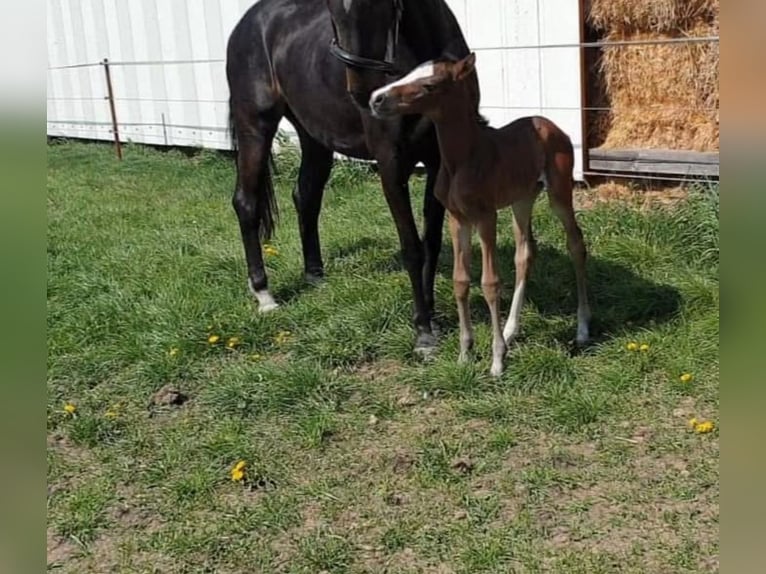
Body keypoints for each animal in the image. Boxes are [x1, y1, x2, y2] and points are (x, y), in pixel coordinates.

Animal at [226, 0, 481, 355]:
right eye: (330, 6)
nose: (366, 94)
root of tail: (247, 22)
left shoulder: (440, 163)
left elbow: (430, 242)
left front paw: (431, 314)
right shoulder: (391, 165)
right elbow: (412, 246)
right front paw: (423, 334)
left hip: (313, 136)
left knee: (306, 196)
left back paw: (315, 276)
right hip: (255, 125)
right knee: (246, 203)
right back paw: (265, 296)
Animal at [370, 54, 591, 376]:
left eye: (429, 84)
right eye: (410, 72)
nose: (376, 98)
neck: (463, 159)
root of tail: (550, 125)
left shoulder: (486, 217)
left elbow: (490, 282)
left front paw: (497, 360)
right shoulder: (457, 219)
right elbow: (460, 281)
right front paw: (465, 353)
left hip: (559, 192)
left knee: (576, 243)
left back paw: (582, 329)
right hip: (522, 198)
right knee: (525, 253)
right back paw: (511, 330)